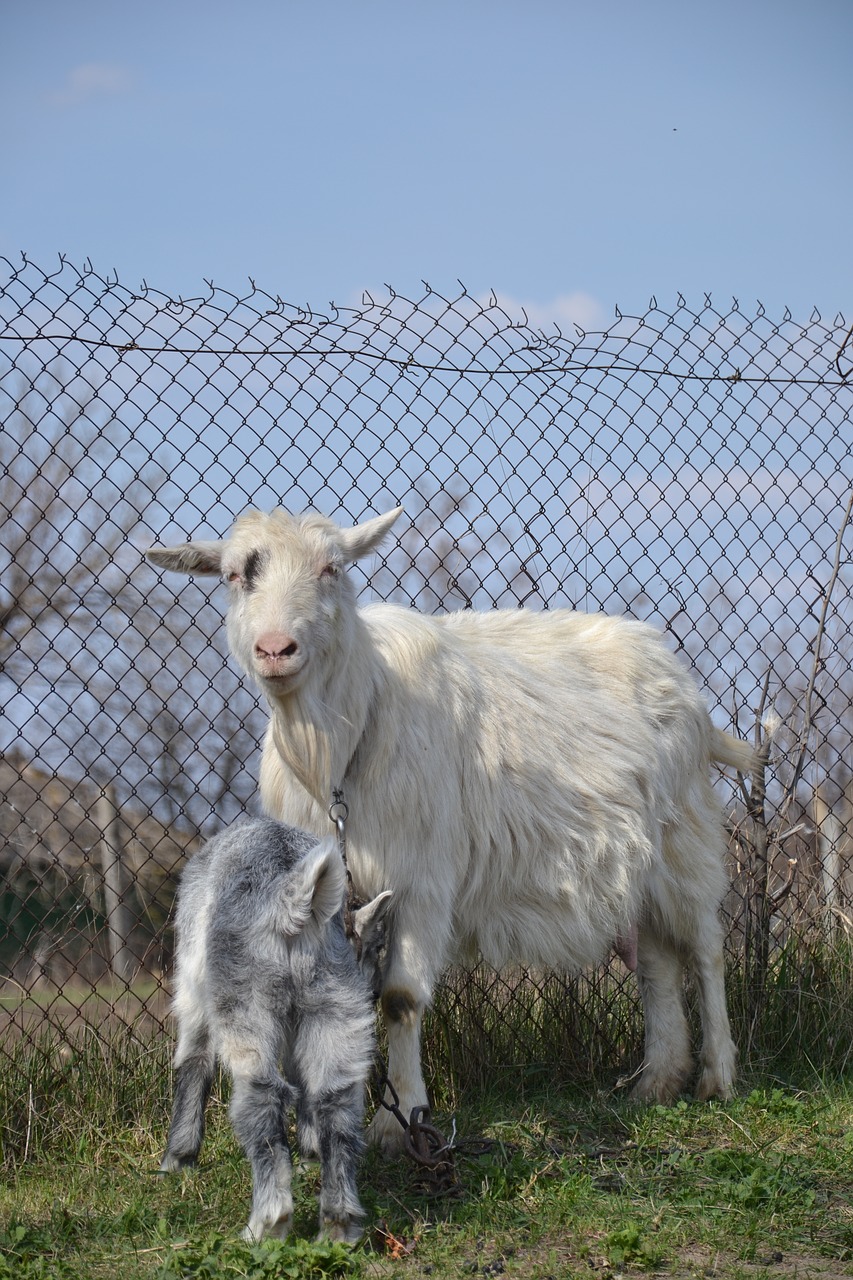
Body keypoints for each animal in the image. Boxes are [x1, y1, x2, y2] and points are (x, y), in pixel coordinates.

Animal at [146, 504, 753, 1157]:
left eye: (331, 568)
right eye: (236, 576)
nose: (276, 648)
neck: (341, 744)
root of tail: (680, 680)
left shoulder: (422, 879)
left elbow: (399, 999)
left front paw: (400, 1121)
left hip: (683, 838)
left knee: (705, 948)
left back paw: (718, 1075)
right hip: (637, 863)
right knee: (657, 959)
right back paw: (658, 1082)